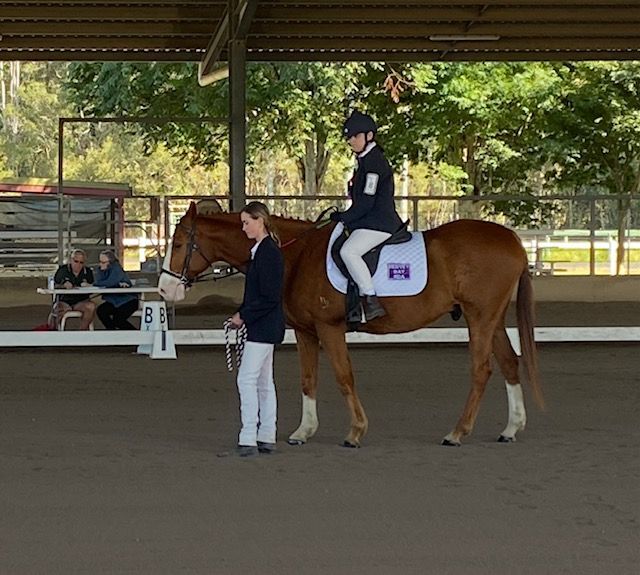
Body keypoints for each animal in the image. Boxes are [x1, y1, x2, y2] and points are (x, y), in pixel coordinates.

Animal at [159, 203, 542, 447]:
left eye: (178, 244)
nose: (164, 289)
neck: (296, 254)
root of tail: (512, 239)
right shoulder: (306, 331)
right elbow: (308, 380)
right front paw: (303, 432)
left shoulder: (329, 328)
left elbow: (344, 377)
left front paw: (356, 432)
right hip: (491, 319)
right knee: (510, 363)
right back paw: (511, 428)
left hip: (480, 318)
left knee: (482, 370)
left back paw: (457, 433)